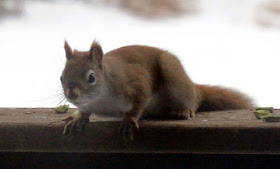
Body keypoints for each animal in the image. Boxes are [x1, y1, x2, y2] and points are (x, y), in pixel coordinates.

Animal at [61, 40, 254, 143]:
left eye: (91, 77)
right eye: (62, 77)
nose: (72, 94)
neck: (100, 98)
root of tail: (193, 87)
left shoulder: (136, 84)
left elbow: (138, 102)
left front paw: (129, 121)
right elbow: (85, 112)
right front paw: (79, 119)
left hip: (173, 73)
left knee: (192, 101)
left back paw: (185, 110)